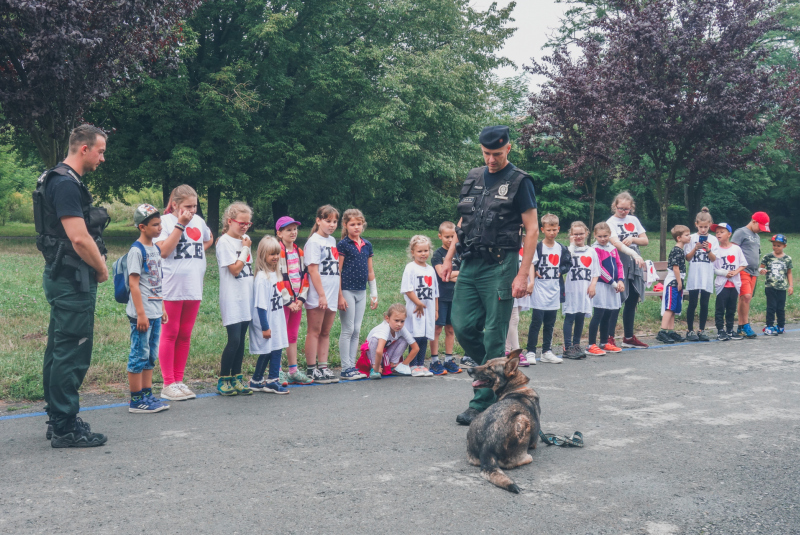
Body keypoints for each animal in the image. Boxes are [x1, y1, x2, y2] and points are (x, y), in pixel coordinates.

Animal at [466, 352, 540, 494]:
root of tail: (486, 447)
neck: (516, 387)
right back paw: (527, 457)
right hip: (523, 420)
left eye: (490, 368)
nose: (469, 370)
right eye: (485, 363)